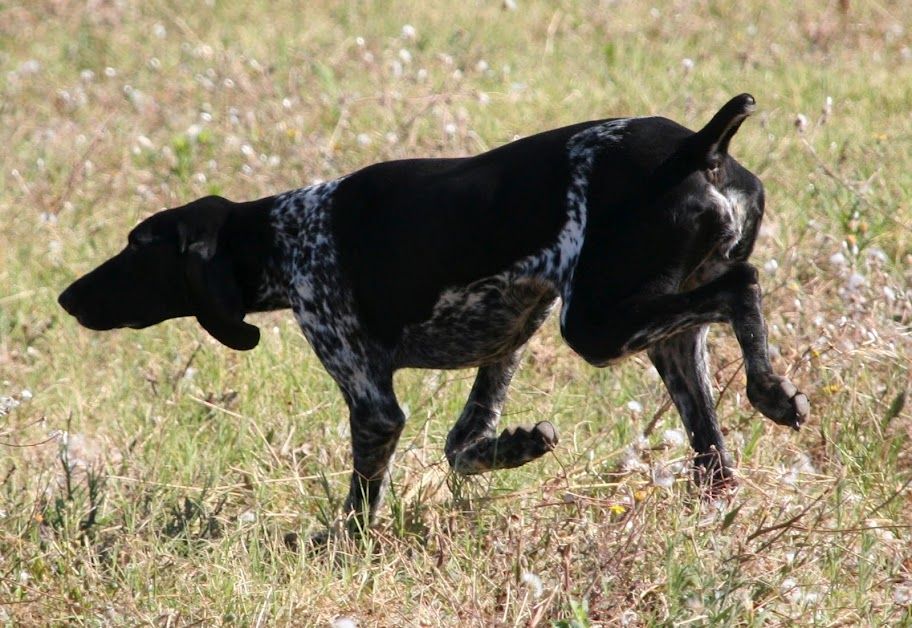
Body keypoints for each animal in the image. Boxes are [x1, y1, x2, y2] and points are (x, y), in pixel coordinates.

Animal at [60, 93, 808, 524]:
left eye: (137, 247)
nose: (68, 297)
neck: (287, 235)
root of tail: (699, 148)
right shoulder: (507, 345)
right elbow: (461, 448)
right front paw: (518, 447)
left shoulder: (371, 401)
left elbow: (363, 501)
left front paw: (345, 547)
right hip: (662, 341)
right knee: (714, 454)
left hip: (596, 326)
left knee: (743, 286)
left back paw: (772, 392)